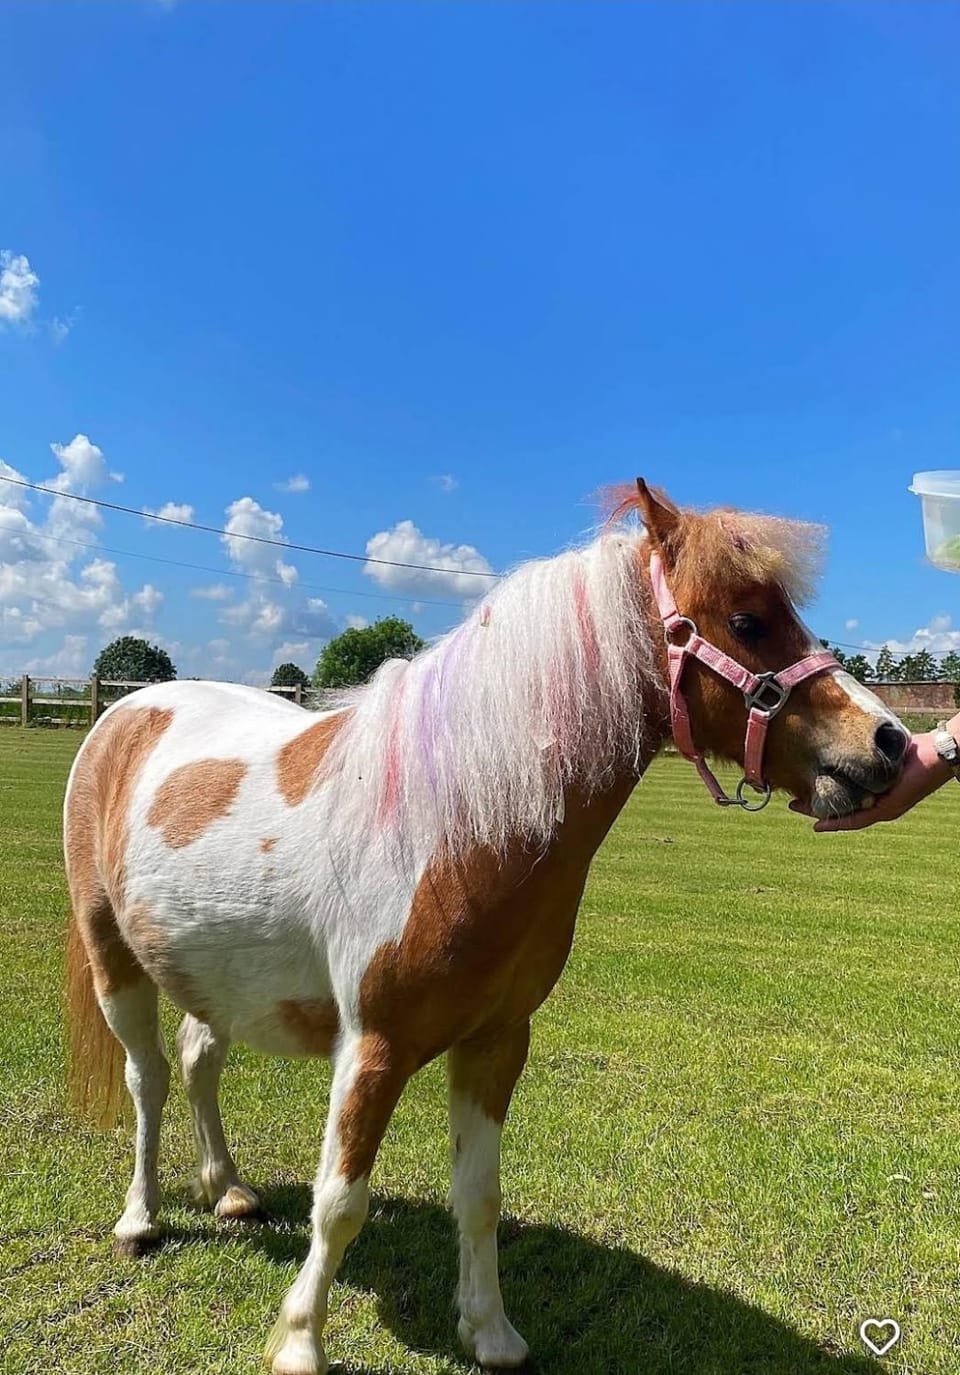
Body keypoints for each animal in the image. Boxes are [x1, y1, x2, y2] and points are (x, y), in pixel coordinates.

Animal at [64, 480, 907, 1375]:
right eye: (748, 620)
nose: (888, 741)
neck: (456, 825)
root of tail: (125, 710)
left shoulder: (497, 1039)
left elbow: (479, 1193)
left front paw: (491, 1331)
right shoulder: (374, 1048)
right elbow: (340, 1200)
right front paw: (299, 1340)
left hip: (213, 975)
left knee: (197, 1061)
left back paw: (226, 1188)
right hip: (115, 959)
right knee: (148, 1077)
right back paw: (141, 1218)